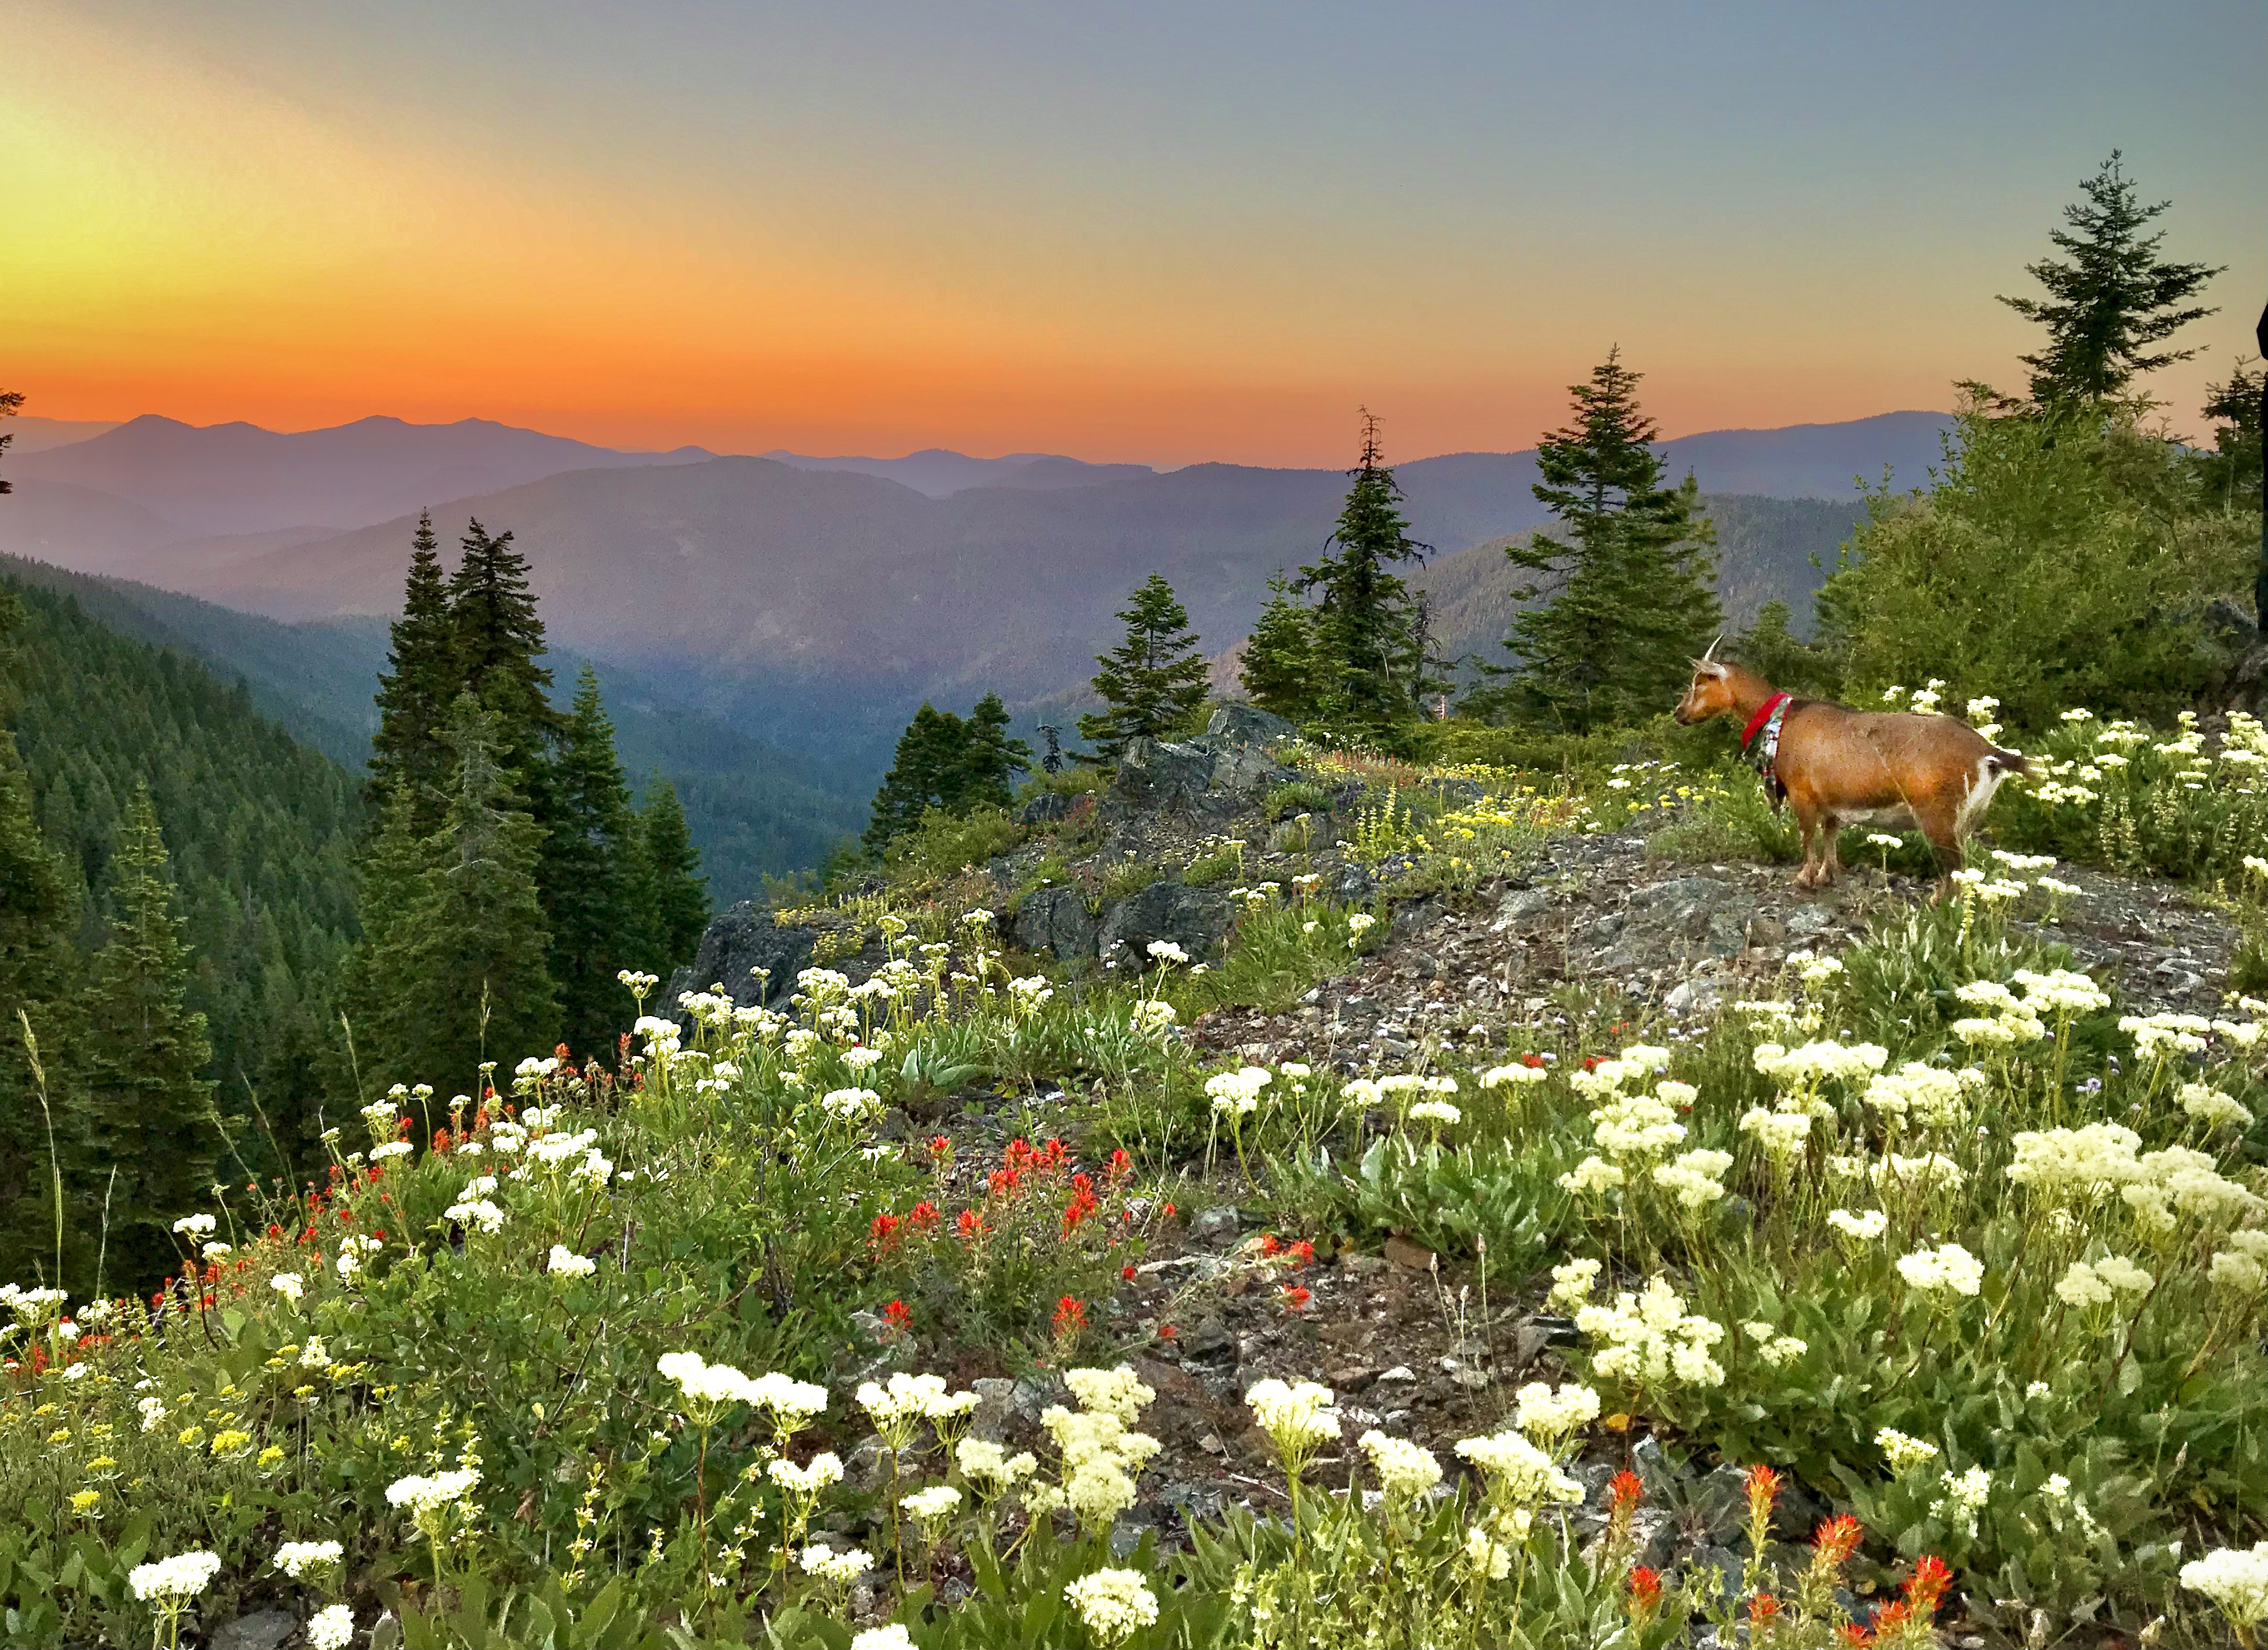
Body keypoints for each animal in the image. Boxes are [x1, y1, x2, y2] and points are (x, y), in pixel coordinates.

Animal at [1669, 653, 2041, 888]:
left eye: (1700, 682)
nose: (1679, 714)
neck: (1787, 719)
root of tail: (1989, 753)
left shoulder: (1802, 793)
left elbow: (1807, 836)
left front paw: (1804, 878)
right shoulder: (1831, 800)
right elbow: (1831, 834)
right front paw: (1827, 875)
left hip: (1939, 815)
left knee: (1953, 869)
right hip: (1969, 818)